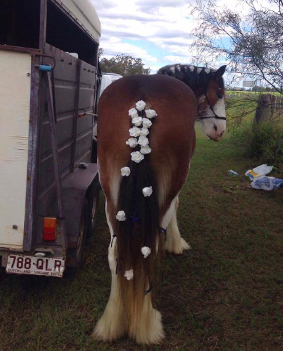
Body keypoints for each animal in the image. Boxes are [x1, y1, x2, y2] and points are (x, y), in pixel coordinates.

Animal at [94, 64, 227, 346]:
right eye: (220, 92)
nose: (220, 131)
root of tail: (143, 101)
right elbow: (176, 204)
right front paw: (176, 242)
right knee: (149, 248)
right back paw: (146, 324)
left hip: (110, 192)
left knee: (115, 251)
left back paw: (112, 322)